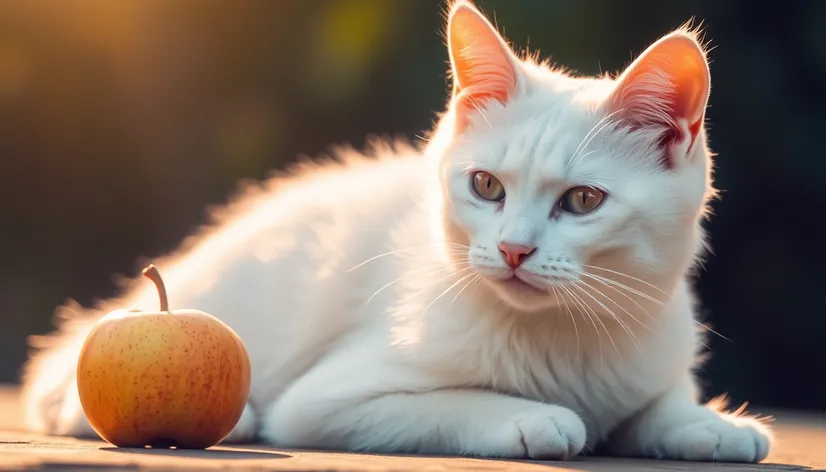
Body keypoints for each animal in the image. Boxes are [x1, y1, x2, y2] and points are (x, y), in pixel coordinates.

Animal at [24, 0, 772, 462]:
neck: (564, 336)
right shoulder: (323, 401)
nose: (513, 249)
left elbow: (652, 406)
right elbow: (453, 402)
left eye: (583, 201)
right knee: (64, 392)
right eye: (486, 187)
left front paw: (707, 426)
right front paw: (531, 416)